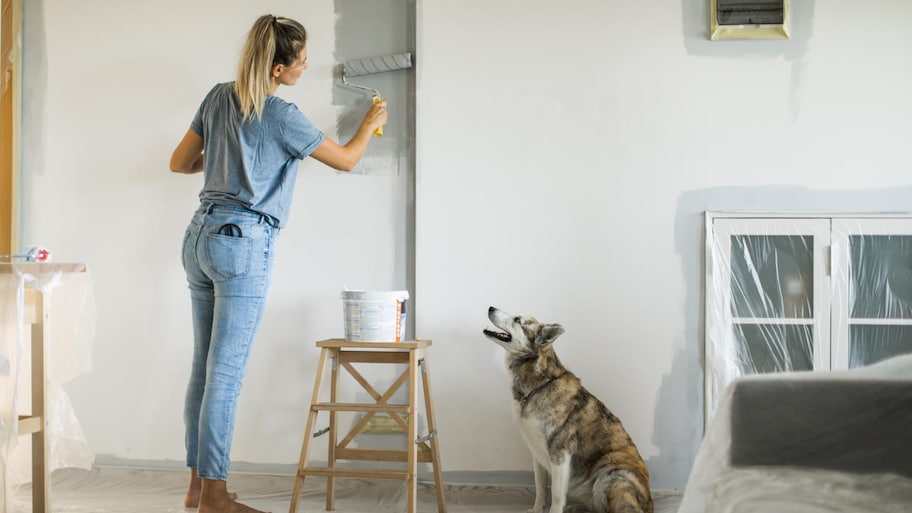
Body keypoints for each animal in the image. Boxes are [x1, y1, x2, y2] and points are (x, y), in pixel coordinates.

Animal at [480, 306, 652, 510]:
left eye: (517, 320)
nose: (491, 307)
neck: (540, 383)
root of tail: (650, 502)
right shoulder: (537, 454)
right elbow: (540, 488)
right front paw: (536, 510)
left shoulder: (560, 455)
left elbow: (556, 494)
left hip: (611, 476)